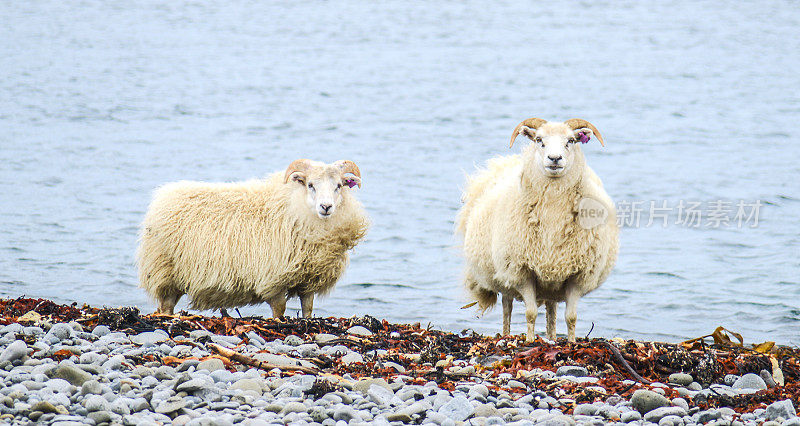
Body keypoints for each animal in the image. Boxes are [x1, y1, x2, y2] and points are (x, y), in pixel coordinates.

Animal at [137, 159, 368, 316]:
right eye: (310, 185)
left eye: (339, 185)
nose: (326, 207)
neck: (294, 206)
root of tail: (161, 197)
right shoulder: (273, 277)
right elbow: (279, 309)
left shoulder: (308, 279)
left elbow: (308, 309)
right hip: (164, 272)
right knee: (165, 306)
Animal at [456, 117, 620, 342]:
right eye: (539, 140)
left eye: (571, 140)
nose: (554, 158)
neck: (553, 210)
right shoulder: (522, 271)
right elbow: (530, 313)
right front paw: (530, 340)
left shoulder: (577, 275)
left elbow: (571, 317)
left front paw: (571, 343)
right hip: (505, 275)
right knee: (507, 306)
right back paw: (507, 336)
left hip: (553, 279)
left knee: (551, 310)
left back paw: (552, 338)